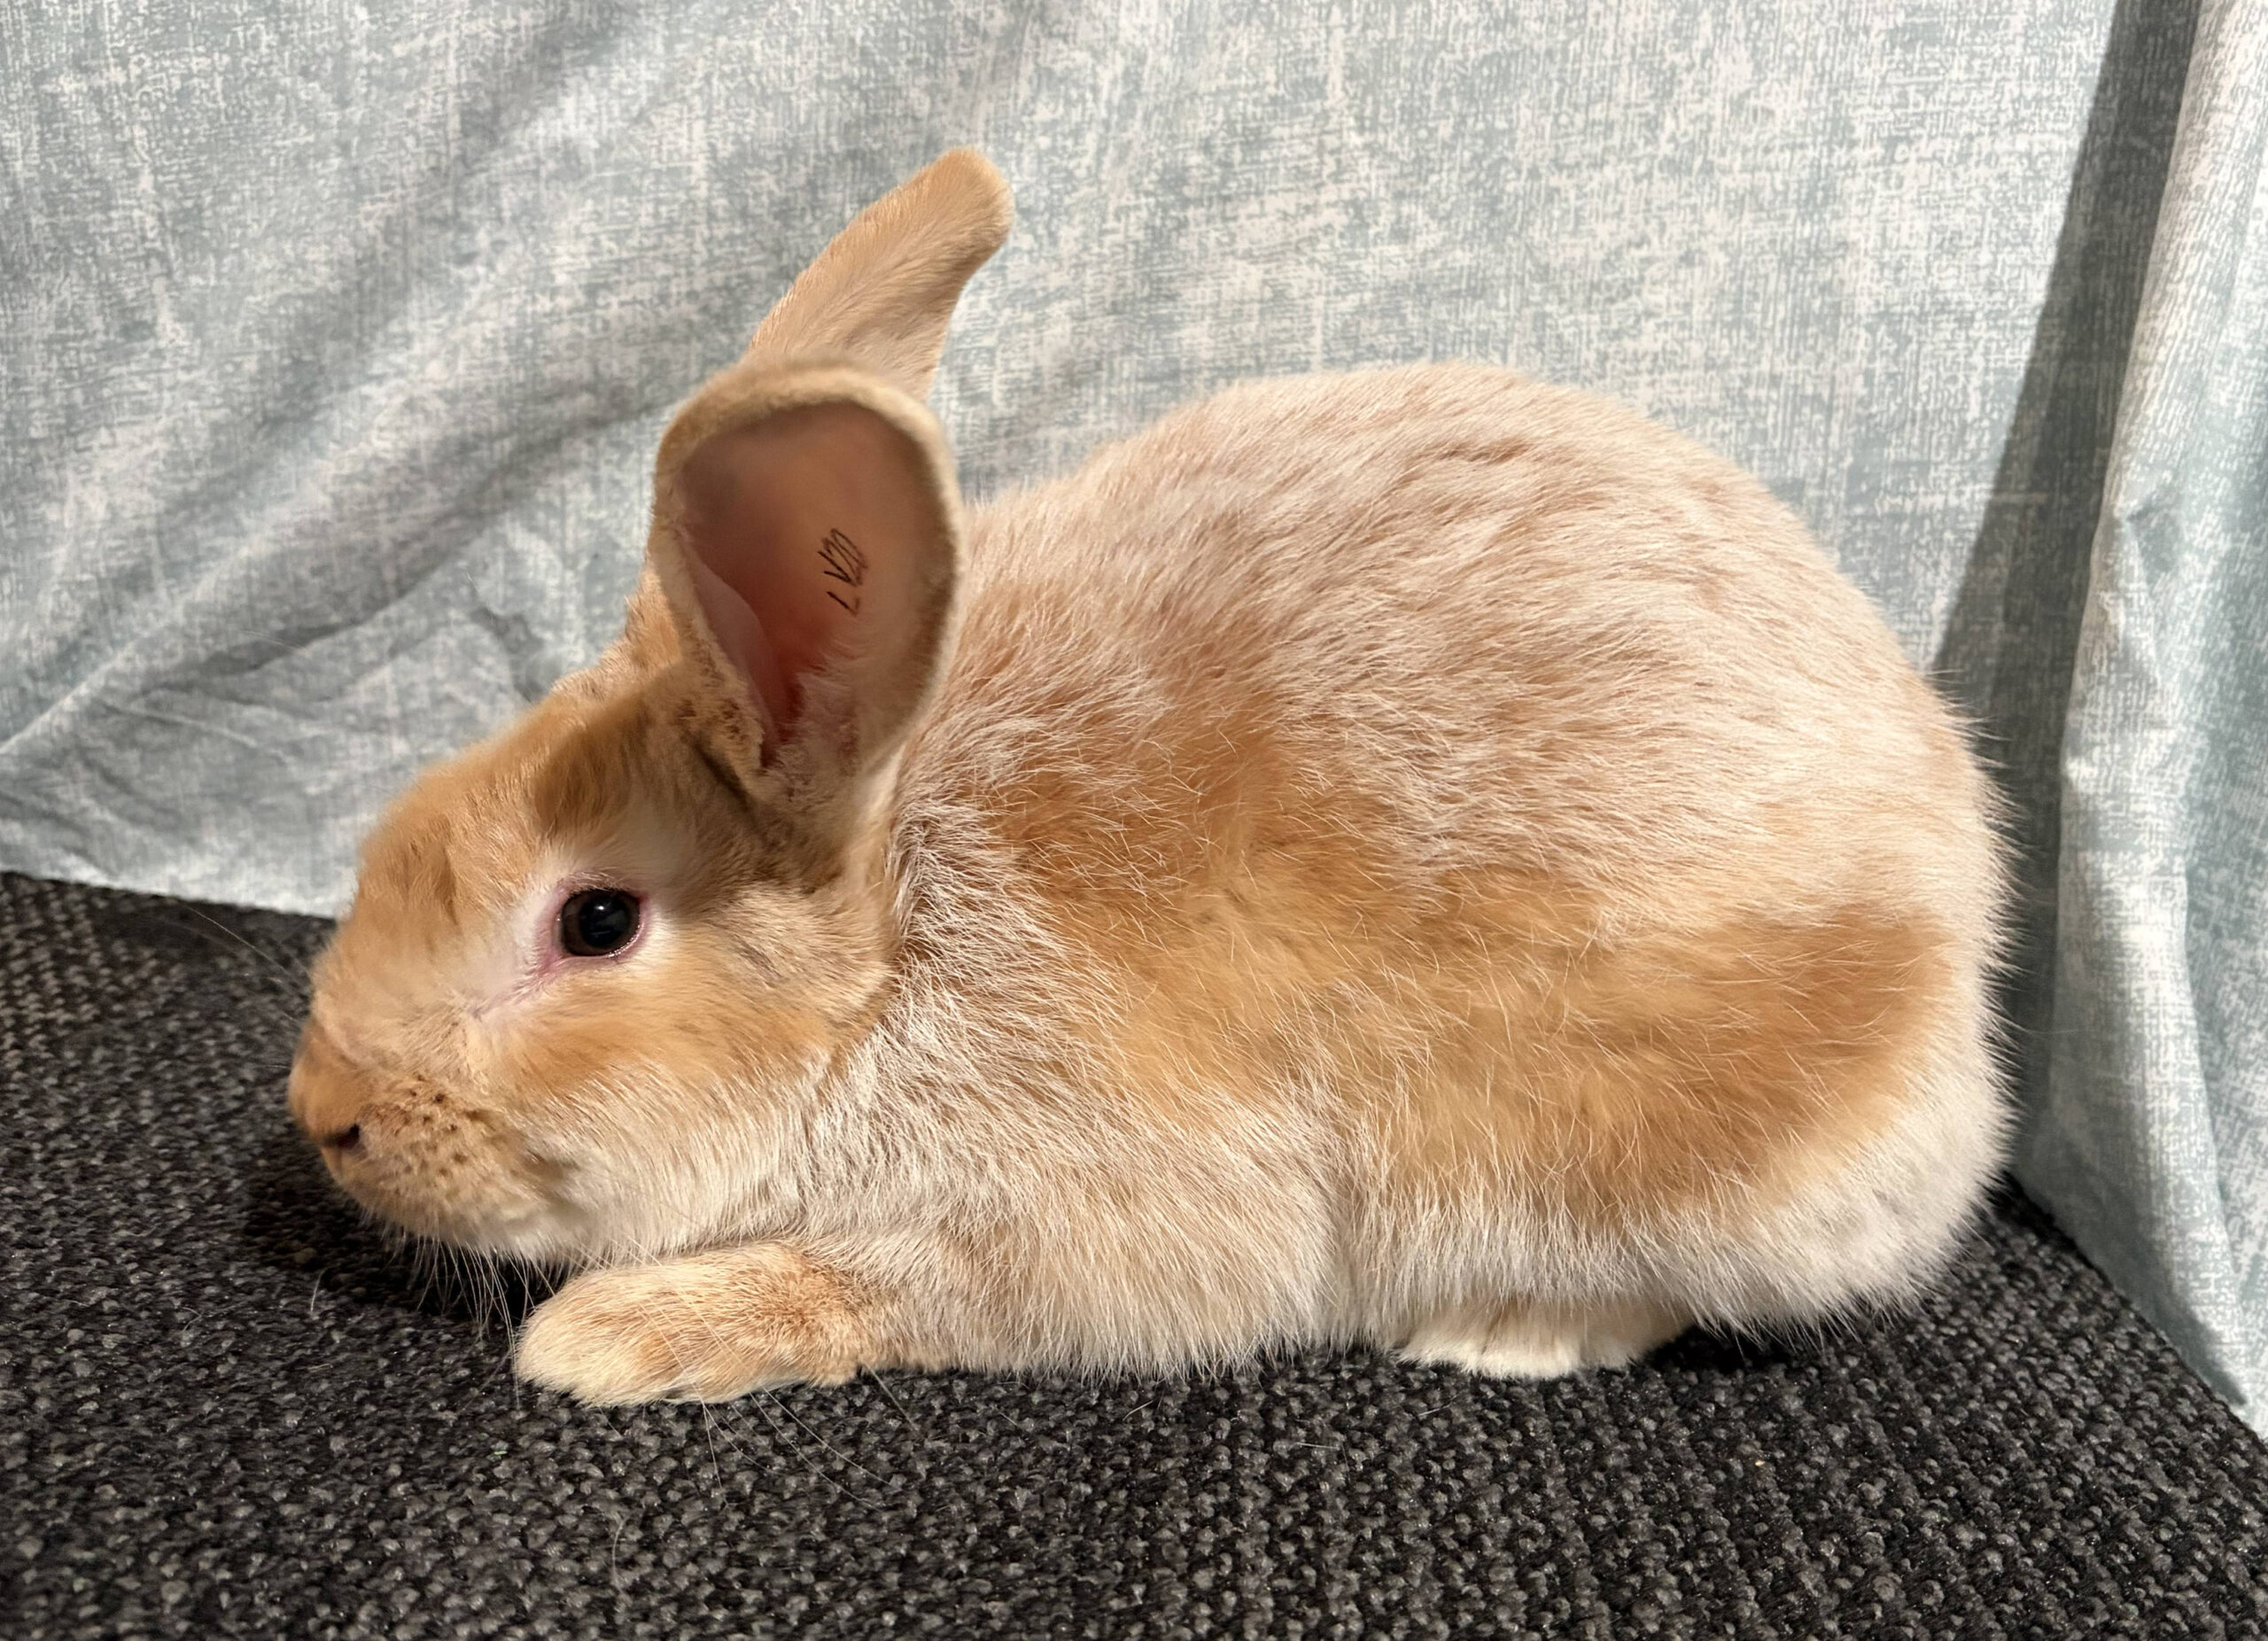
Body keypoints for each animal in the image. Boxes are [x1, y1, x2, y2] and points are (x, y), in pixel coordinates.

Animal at [288, 149, 2009, 1405]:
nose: (324, 1113)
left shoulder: (1082, 1219)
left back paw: (1498, 1328)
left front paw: (615, 1333)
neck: (900, 935)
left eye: (593, 924)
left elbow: (879, 1281)